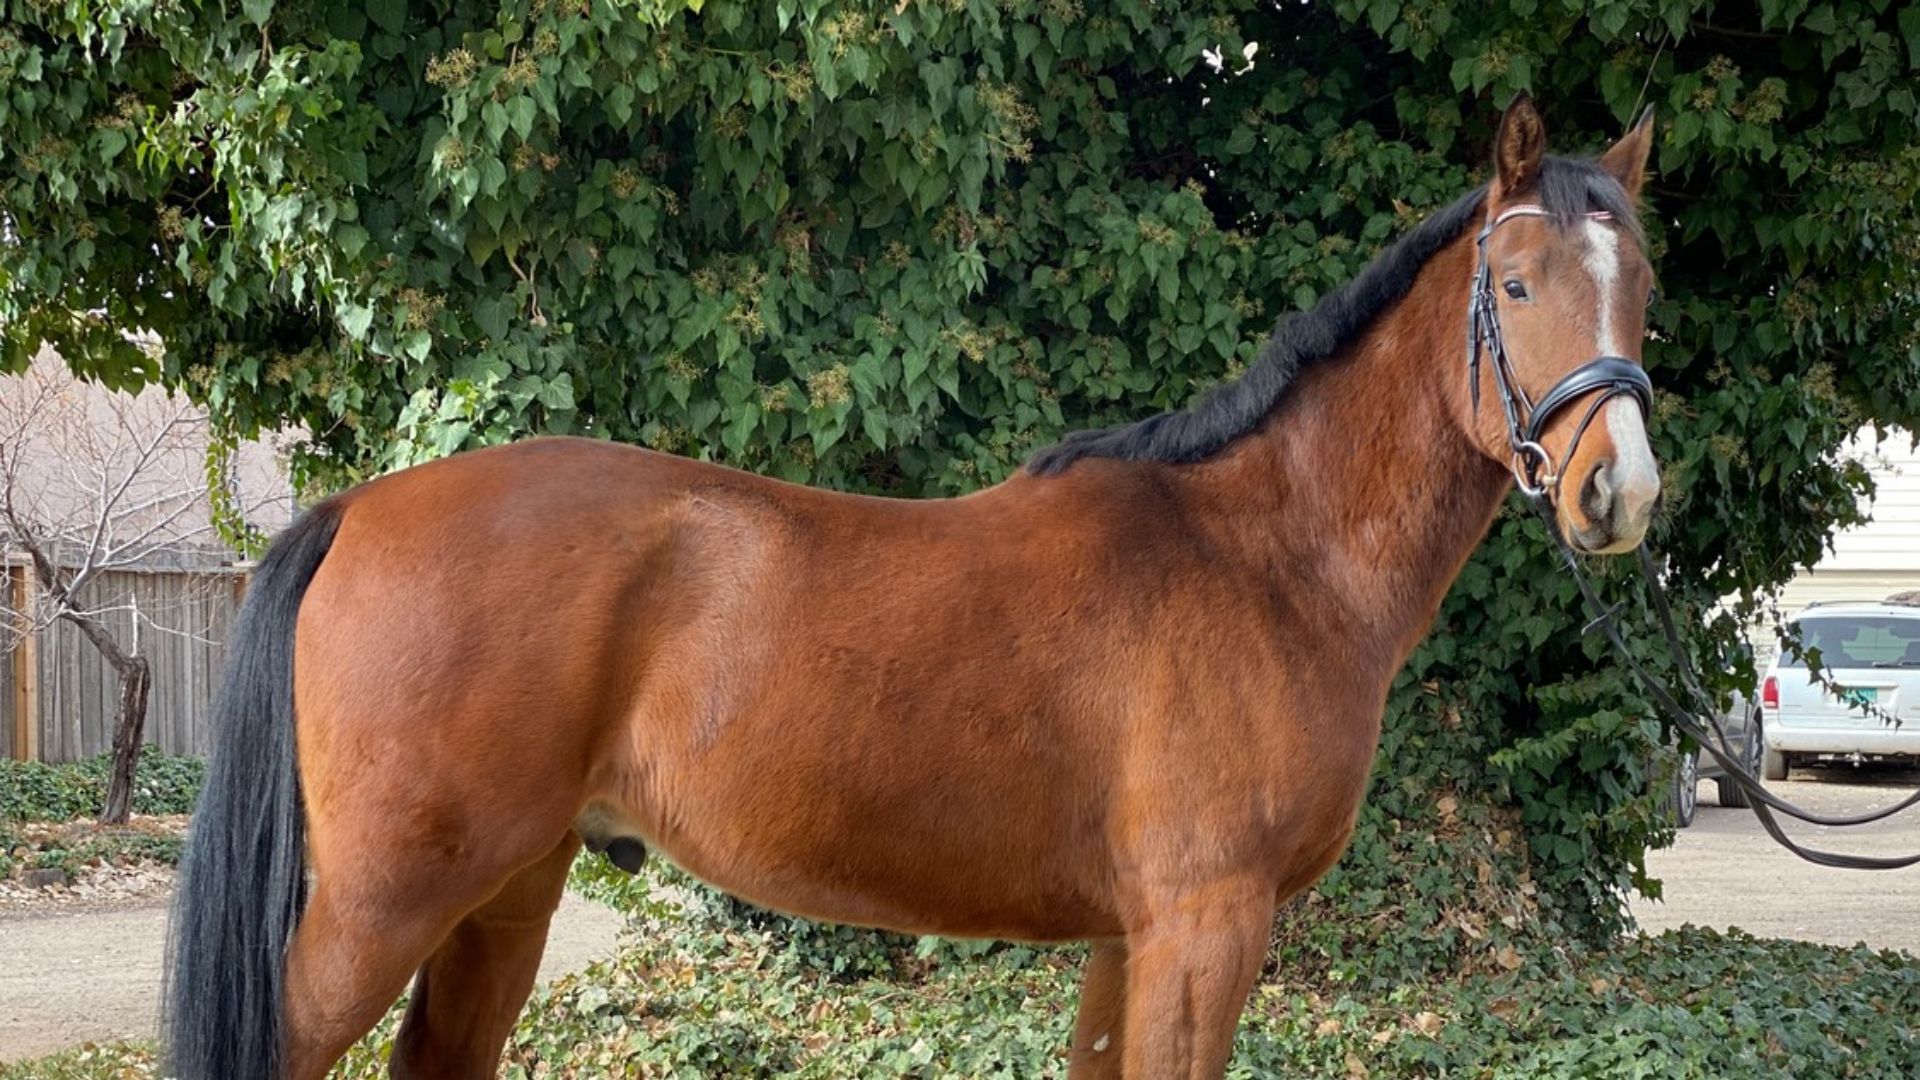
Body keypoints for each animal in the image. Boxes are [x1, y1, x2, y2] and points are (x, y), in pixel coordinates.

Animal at [165, 95, 1661, 1080]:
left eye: (1642, 284)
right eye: (1515, 283)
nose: (1620, 493)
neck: (1266, 557)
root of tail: (360, 510)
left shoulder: (1133, 939)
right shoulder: (1204, 926)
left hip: (504, 895)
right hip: (381, 906)